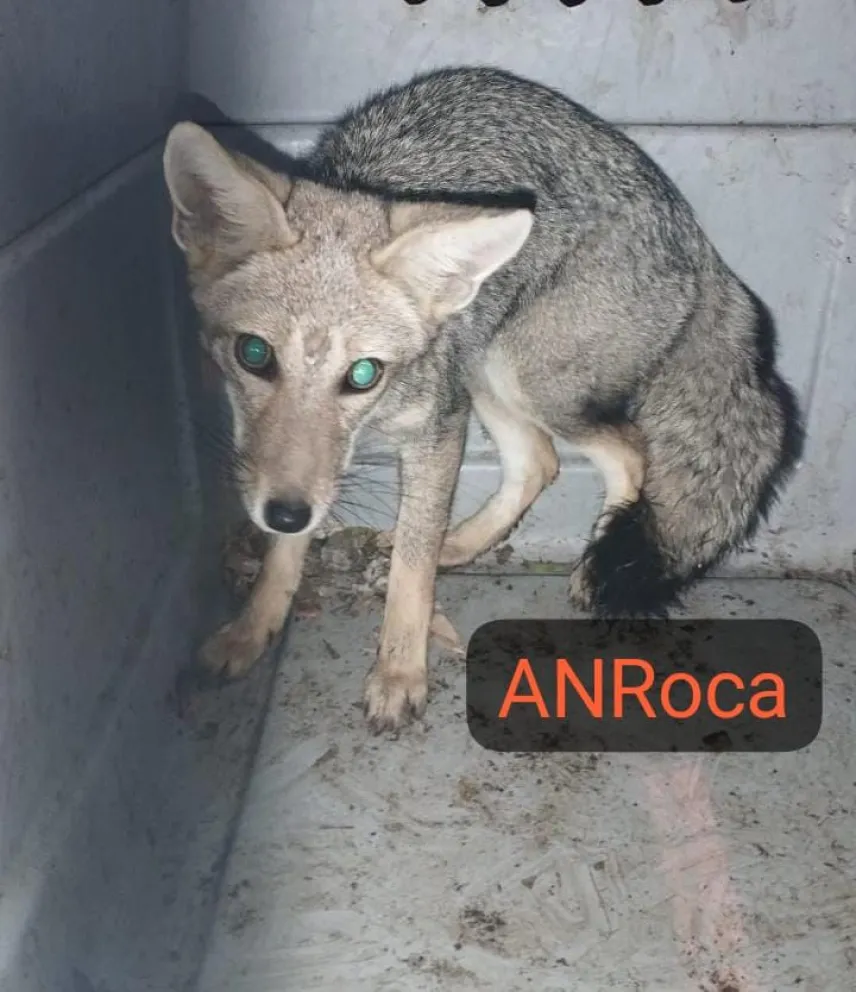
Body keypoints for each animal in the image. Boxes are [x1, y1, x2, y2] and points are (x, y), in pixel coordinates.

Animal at [162, 66, 803, 733]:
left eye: (362, 374)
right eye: (254, 355)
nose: (286, 513)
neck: (382, 409)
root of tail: (698, 239)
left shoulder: (437, 428)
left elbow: (410, 571)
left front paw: (399, 672)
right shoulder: (296, 464)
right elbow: (289, 553)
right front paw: (252, 629)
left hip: (523, 378)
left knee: (630, 454)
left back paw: (587, 570)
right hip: (485, 375)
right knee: (538, 462)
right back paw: (461, 544)